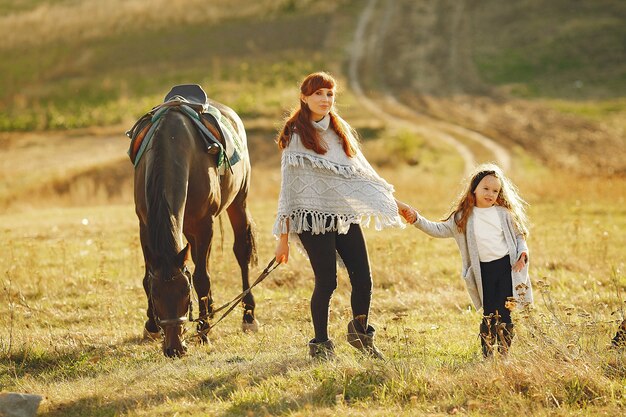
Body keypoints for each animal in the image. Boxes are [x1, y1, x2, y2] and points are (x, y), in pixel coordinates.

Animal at [133, 99, 258, 356]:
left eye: (184, 292)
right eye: (156, 295)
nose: (174, 348)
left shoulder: (204, 224)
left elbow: (202, 278)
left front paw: (204, 331)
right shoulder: (144, 224)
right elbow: (147, 276)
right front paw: (151, 326)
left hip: (238, 202)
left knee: (241, 252)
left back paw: (248, 316)